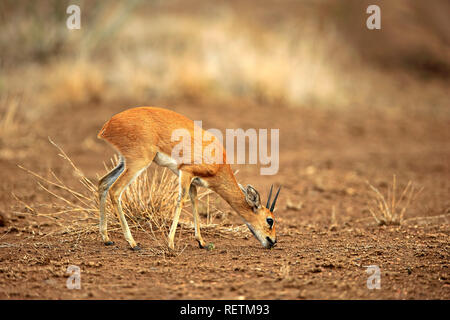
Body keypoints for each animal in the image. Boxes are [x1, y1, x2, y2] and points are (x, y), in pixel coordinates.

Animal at [97, 106, 282, 251]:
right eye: (270, 220)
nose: (273, 241)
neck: (218, 163)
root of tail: (108, 125)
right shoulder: (185, 172)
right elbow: (181, 201)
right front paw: (171, 243)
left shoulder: (194, 181)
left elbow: (194, 201)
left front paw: (202, 242)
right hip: (138, 163)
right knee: (115, 191)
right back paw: (133, 243)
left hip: (124, 162)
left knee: (103, 184)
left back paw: (106, 239)